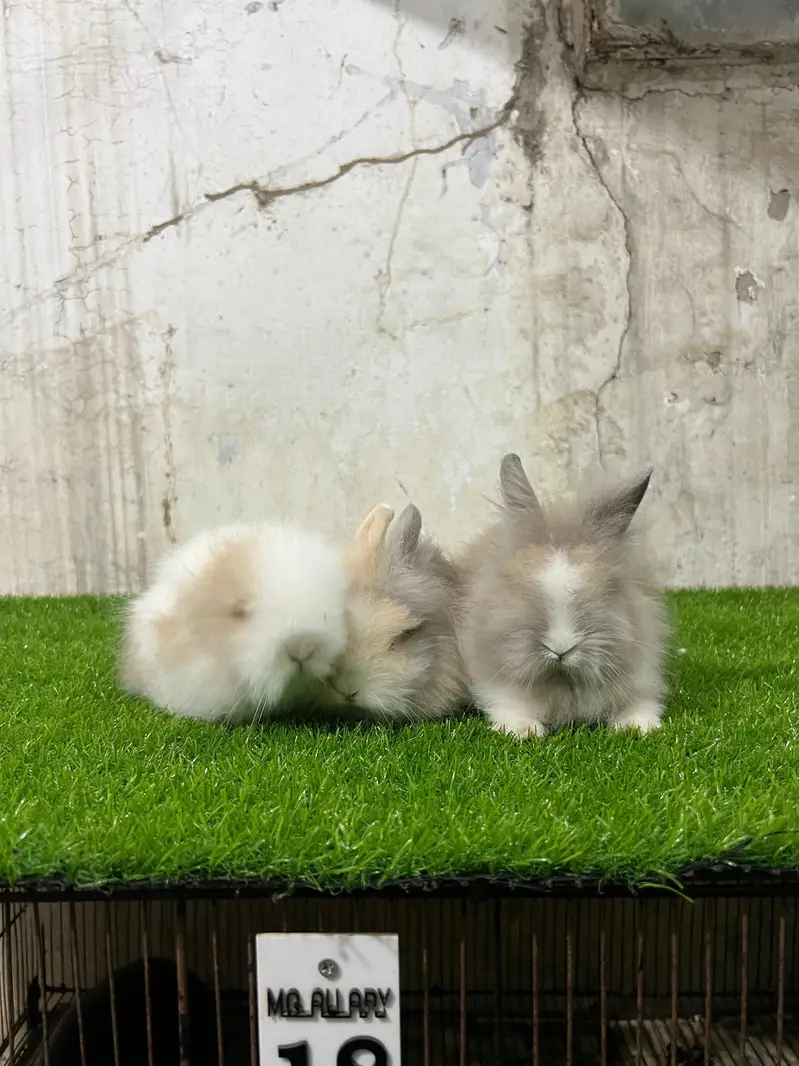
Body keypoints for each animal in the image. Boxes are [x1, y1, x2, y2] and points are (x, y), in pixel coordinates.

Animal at [458, 453, 669, 739]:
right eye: (515, 583)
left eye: (610, 586)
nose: (560, 648)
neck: (561, 681)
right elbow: (507, 703)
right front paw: (524, 730)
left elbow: (641, 704)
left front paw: (639, 726)